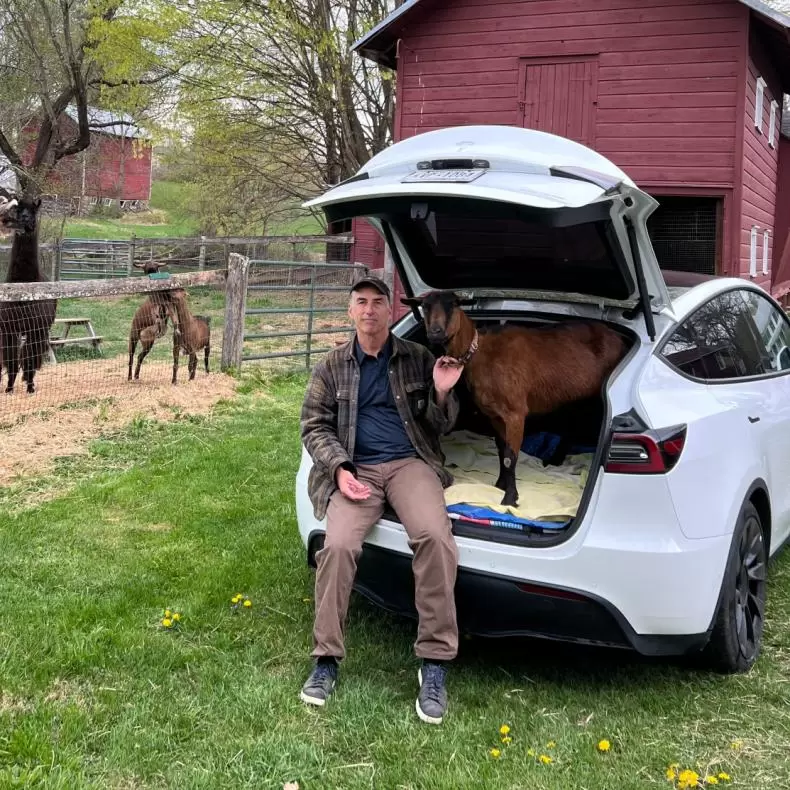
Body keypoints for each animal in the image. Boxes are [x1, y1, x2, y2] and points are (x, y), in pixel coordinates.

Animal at [0, 193, 57, 396]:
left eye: (33, 212)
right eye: (17, 210)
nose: (23, 220)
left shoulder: (36, 327)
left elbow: (30, 359)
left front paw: (31, 387)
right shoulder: (8, 329)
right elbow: (11, 361)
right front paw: (9, 388)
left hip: (42, 329)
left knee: (33, 356)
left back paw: (29, 380)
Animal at [406, 290, 628, 508]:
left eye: (453, 304)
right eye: (425, 306)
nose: (435, 332)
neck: (481, 352)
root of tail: (618, 337)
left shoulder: (515, 412)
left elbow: (510, 457)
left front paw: (510, 499)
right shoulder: (494, 415)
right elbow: (501, 451)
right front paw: (500, 485)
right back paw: (555, 459)